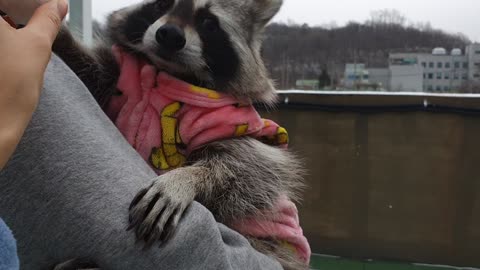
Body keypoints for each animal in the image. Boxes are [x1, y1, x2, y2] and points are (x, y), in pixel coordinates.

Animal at [52, 1, 308, 268]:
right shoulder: (118, 81)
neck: (171, 74)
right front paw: (58, 35)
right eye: (162, 5)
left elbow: (250, 169)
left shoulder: (240, 127)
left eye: (208, 22)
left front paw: (187, 178)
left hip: (272, 246)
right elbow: (91, 71)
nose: (170, 35)